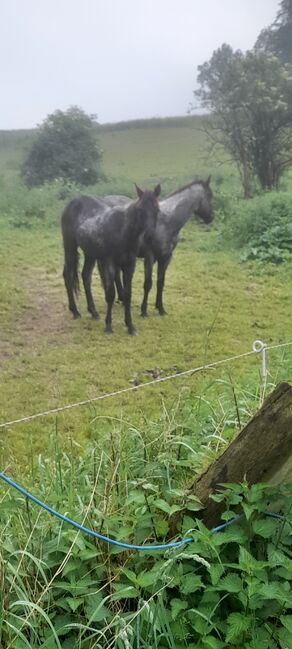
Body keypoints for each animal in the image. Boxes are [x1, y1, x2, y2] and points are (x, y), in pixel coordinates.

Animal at [61, 182, 161, 334]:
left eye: (157, 210)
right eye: (140, 210)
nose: (149, 237)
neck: (123, 231)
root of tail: (72, 204)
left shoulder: (129, 265)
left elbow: (127, 294)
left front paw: (130, 326)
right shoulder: (110, 263)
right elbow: (110, 294)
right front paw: (108, 326)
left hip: (90, 253)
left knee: (86, 276)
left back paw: (93, 312)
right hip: (70, 246)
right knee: (68, 274)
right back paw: (75, 311)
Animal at [102, 176, 212, 318]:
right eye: (209, 196)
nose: (211, 217)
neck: (167, 222)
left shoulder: (166, 257)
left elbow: (160, 282)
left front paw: (160, 308)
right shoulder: (150, 256)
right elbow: (148, 283)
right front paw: (144, 310)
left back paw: (121, 298)